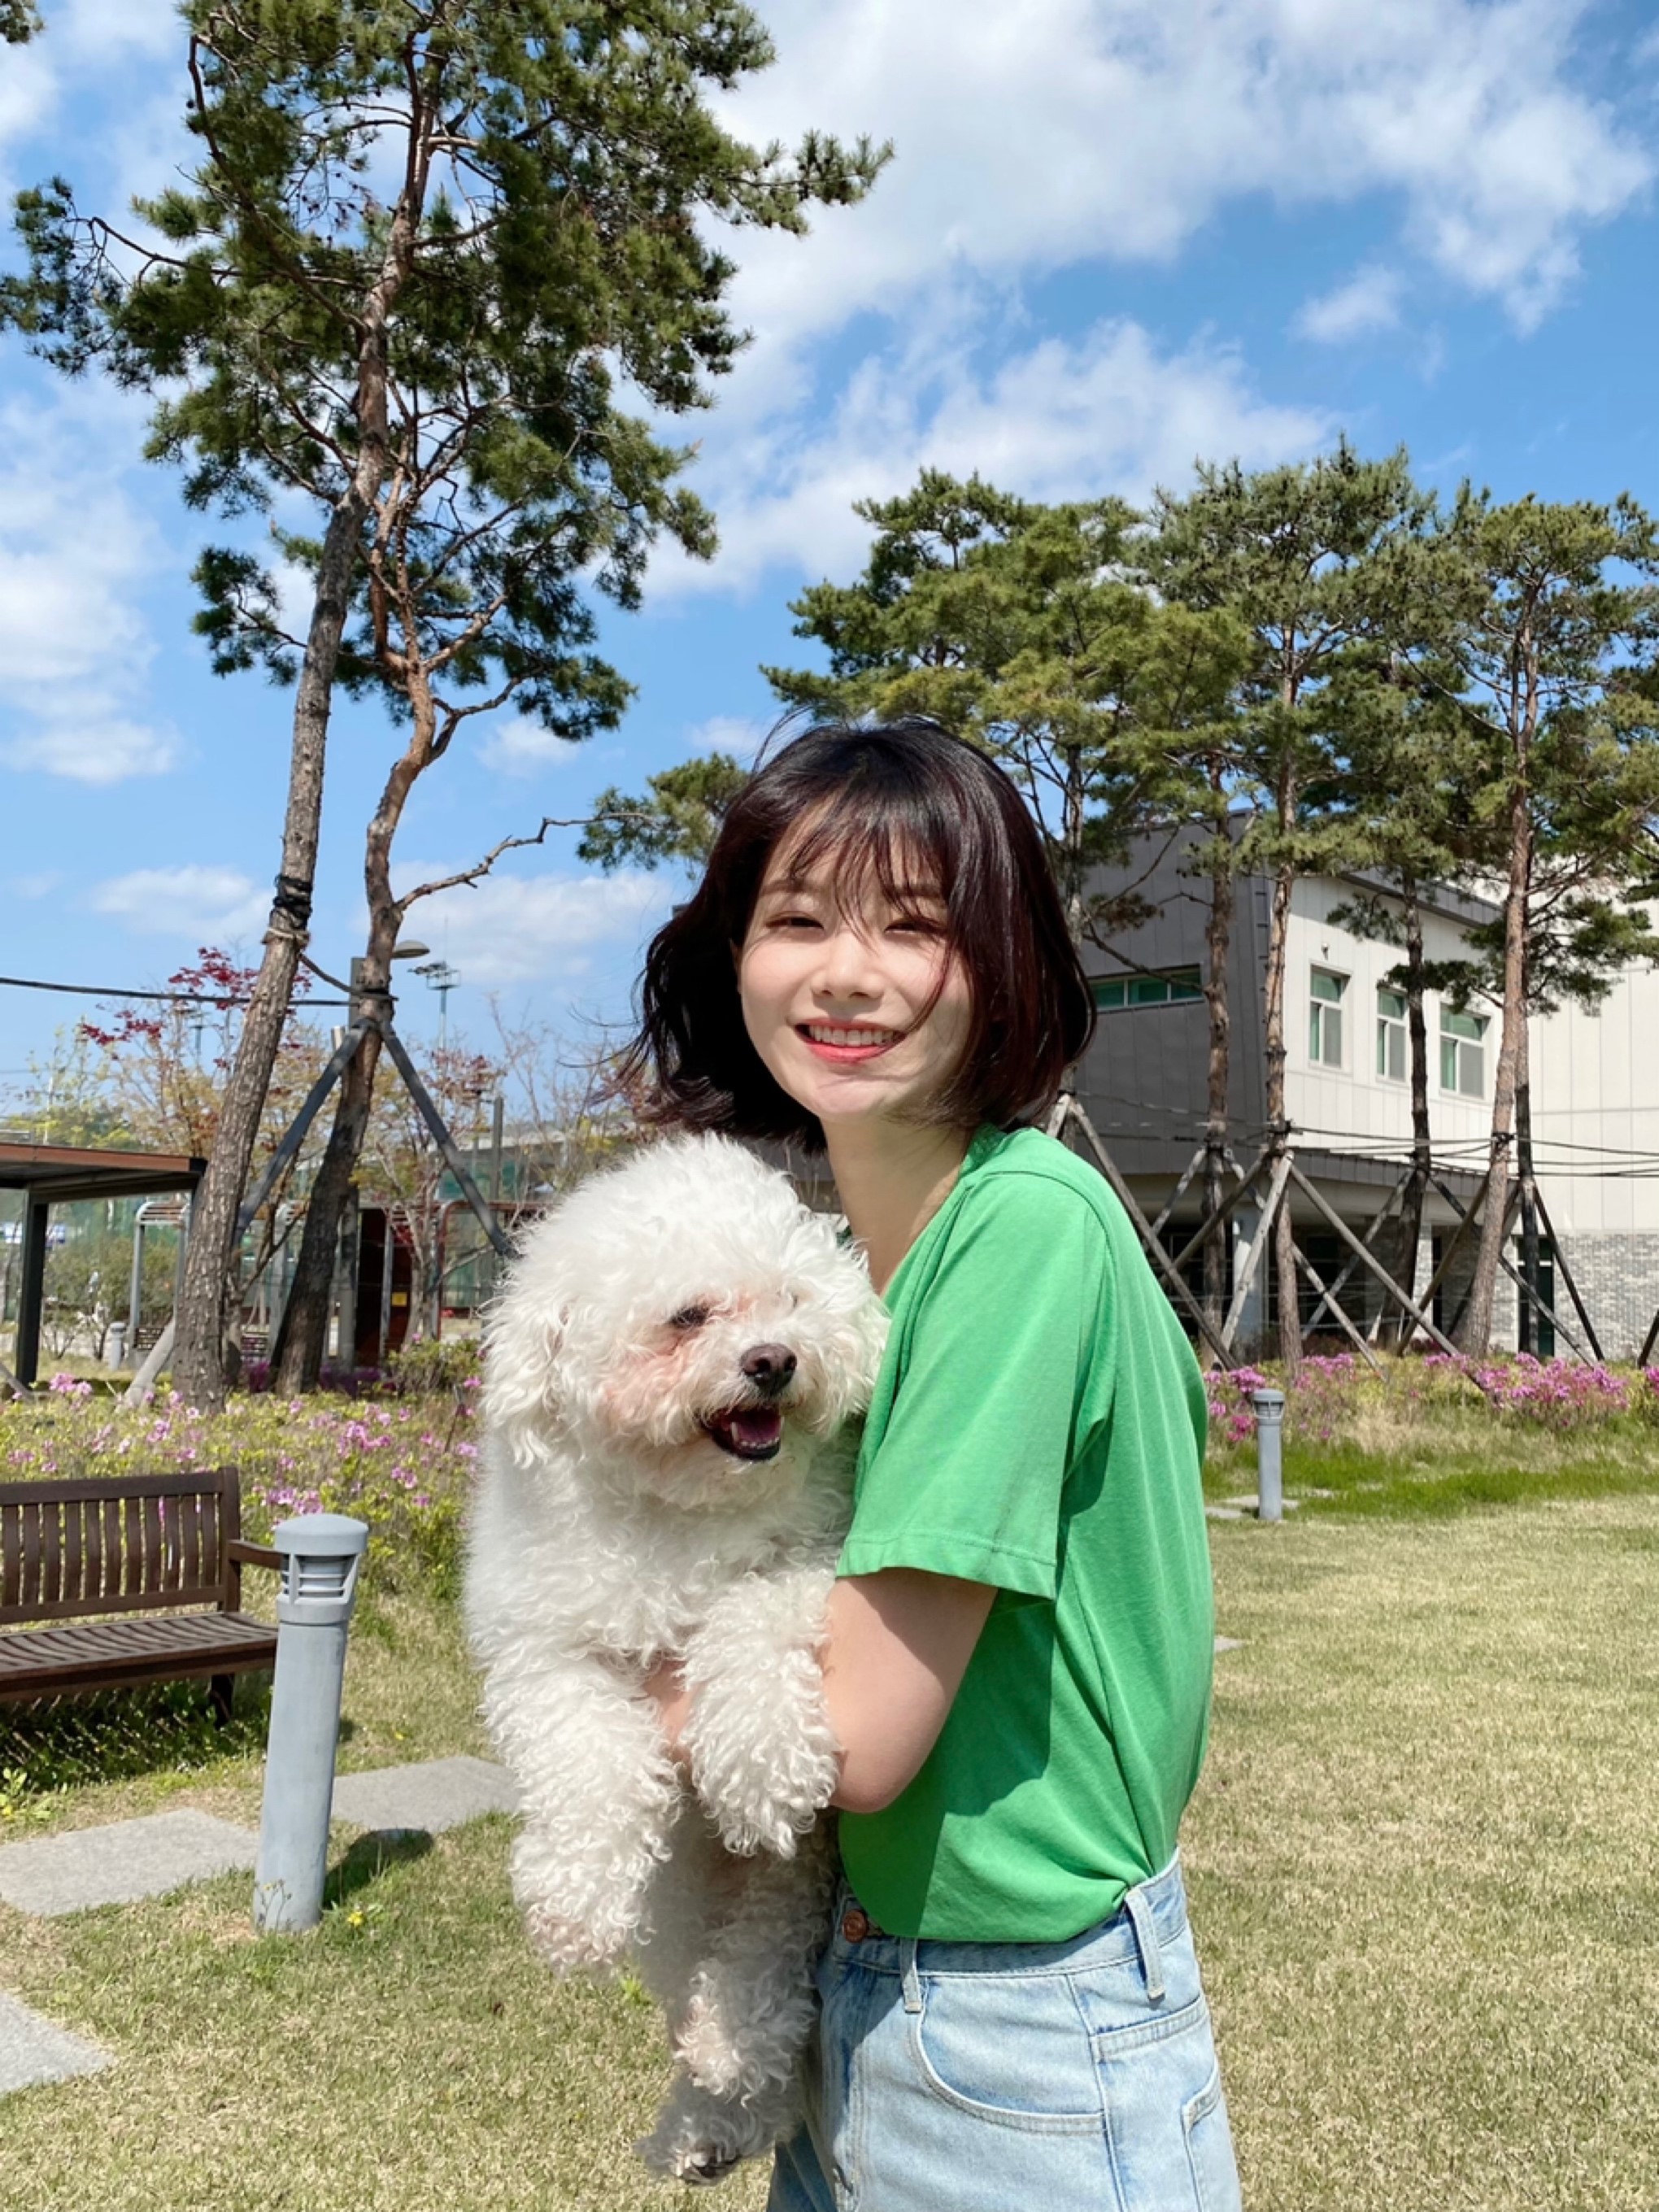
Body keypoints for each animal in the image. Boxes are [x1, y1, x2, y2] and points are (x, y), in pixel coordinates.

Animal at [465, 1134, 887, 2182]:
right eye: (688, 1315)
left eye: (790, 1298)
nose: (774, 1361)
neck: (680, 1515)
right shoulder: (546, 1651)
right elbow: (586, 1761)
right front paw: (572, 1905)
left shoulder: (811, 1562)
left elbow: (747, 1616)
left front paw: (760, 1764)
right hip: (682, 1908)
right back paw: (704, 2124)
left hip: (789, 1879)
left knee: (764, 1968)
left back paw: (732, 2049)